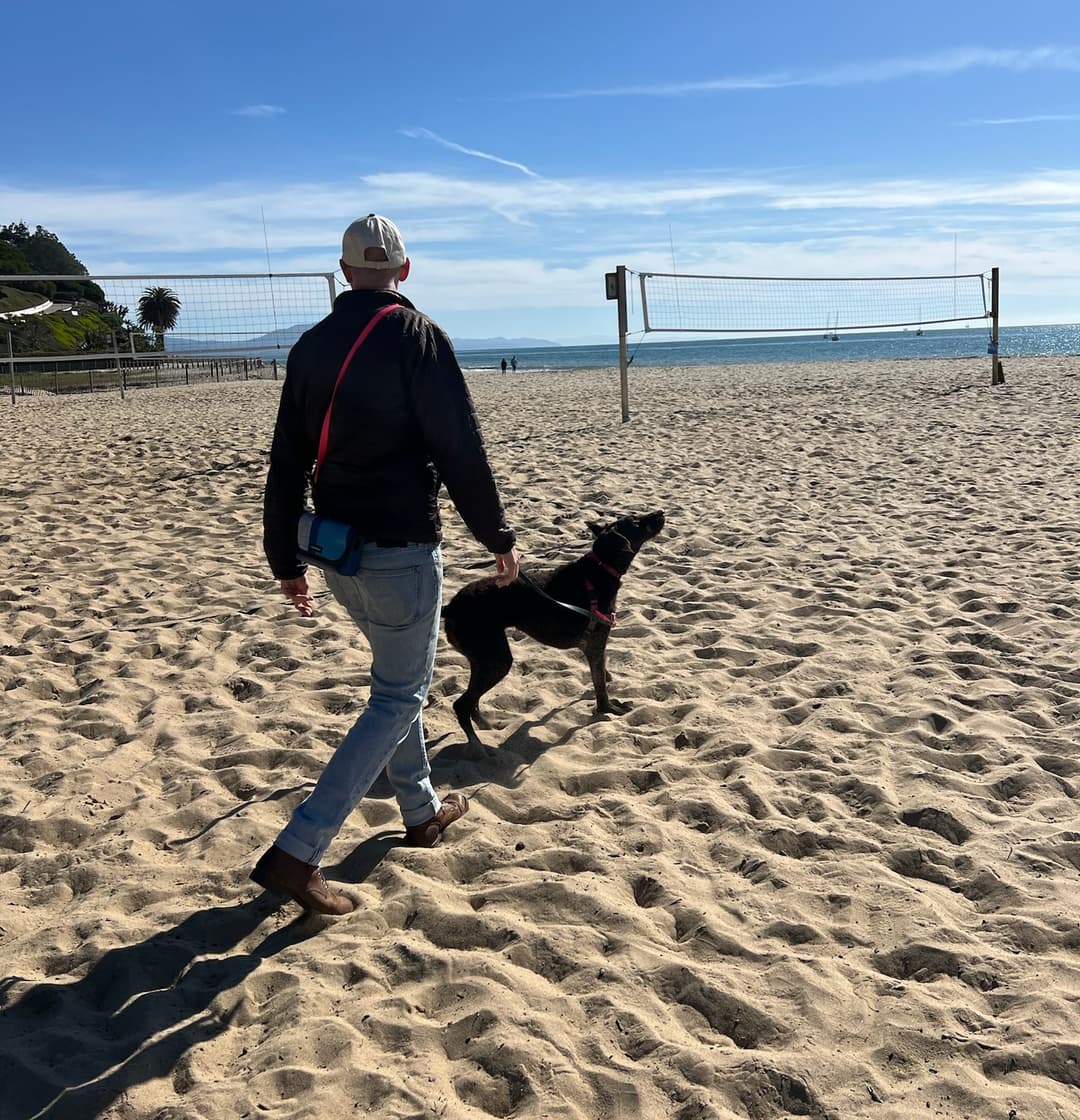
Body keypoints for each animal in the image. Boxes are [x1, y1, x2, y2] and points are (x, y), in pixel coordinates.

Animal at [441, 510, 663, 739]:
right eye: (636, 522)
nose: (660, 513)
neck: (601, 567)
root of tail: (450, 607)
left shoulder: (595, 649)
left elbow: (601, 672)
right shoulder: (595, 645)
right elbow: (600, 686)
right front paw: (609, 708)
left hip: (481, 659)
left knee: (472, 702)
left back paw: (487, 728)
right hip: (497, 660)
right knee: (462, 705)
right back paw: (479, 745)